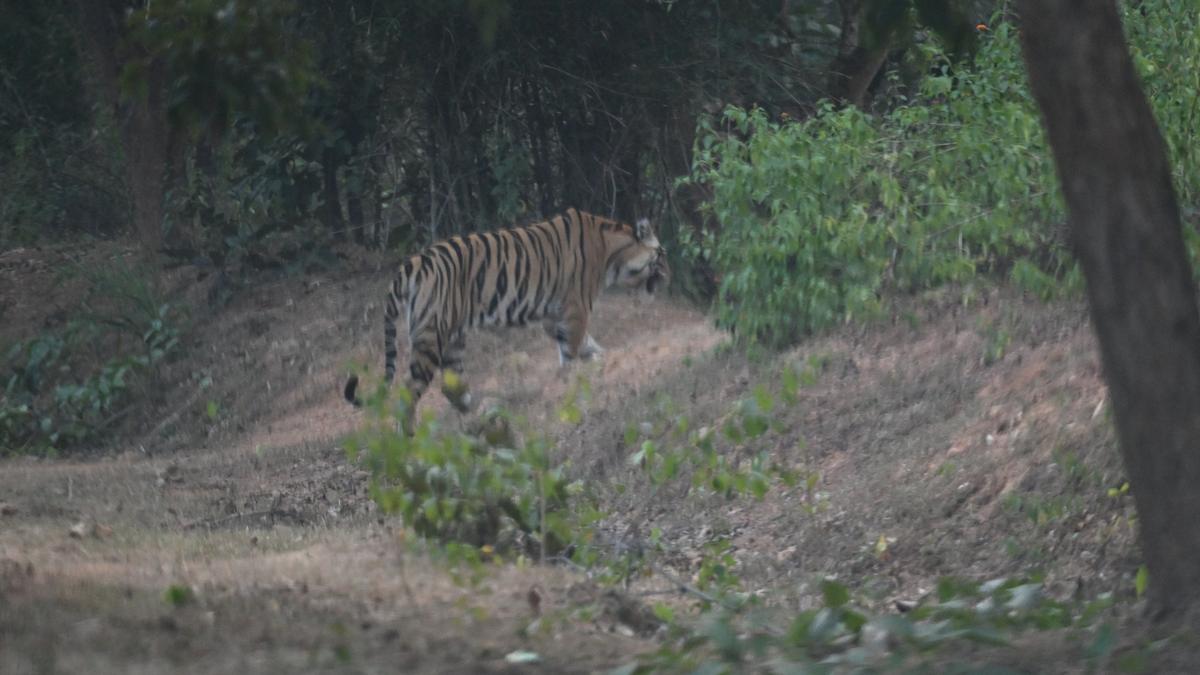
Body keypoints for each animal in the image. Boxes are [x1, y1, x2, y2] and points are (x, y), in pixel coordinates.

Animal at [344, 208, 669, 431]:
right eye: (662, 255)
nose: (671, 273)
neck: (612, 252)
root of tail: (410, 264)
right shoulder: (576, 309)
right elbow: (572, 350)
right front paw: (575, 380)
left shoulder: (554, 315)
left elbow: (579, 345)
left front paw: (598, 359)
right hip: (430, 336)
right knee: (410, 389)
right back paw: (410, 433)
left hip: (453, 337)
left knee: (451, 385)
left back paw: (479, 414)